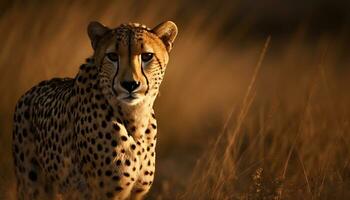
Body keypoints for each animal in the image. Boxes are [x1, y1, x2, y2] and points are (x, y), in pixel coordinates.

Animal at [11, 20, 178, 200]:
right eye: (112, 56)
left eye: (147, 56)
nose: (130, 84)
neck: (135, 119)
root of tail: (29, 91)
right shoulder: (102, 193)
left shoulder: (136, 194)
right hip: (33, 186)